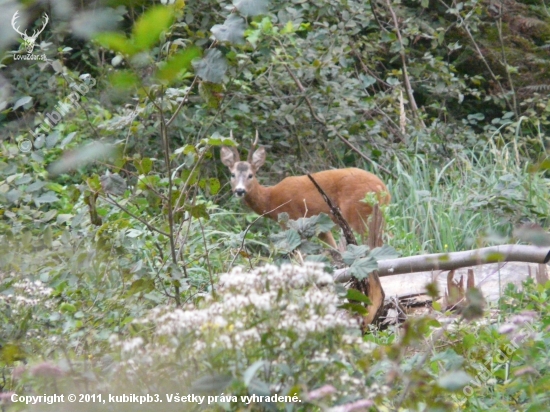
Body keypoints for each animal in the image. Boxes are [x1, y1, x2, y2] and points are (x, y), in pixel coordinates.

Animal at [221, 133, 392, 248]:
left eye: (250, 175)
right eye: (232, 174)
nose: (240, 191)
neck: (270, 199)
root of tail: (383, 188)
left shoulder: (291, 221)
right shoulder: (321, 227)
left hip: (359, 213)